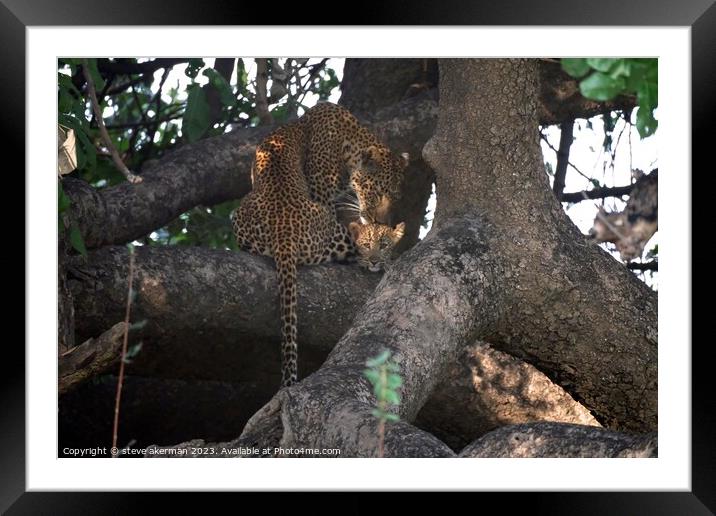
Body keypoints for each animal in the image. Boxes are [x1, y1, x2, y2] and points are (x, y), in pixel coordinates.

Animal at [229, 102, 408, 388]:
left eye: (395, 196)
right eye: (378, 192)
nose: (380, 220)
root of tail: (283, 231)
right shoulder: (323, 193)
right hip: (335, 232)